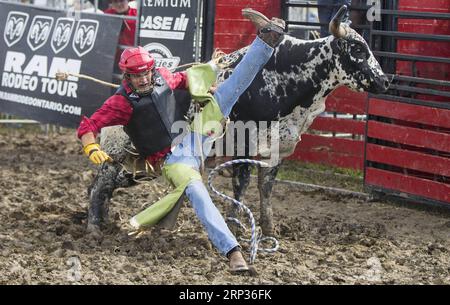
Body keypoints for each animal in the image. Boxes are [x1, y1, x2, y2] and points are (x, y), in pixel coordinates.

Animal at [86, 5, 388, 234]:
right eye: (357, 48)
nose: (384, 81)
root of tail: (114, 95)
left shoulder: (276, 149)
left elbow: (266, 188)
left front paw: (269, 229)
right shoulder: (244, 144)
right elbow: (241, 185)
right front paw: (233, 222)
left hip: (137, 167)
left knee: (104, 184)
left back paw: (102, 220)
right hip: (120, 158)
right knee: (101, 184)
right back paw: (94, 226)